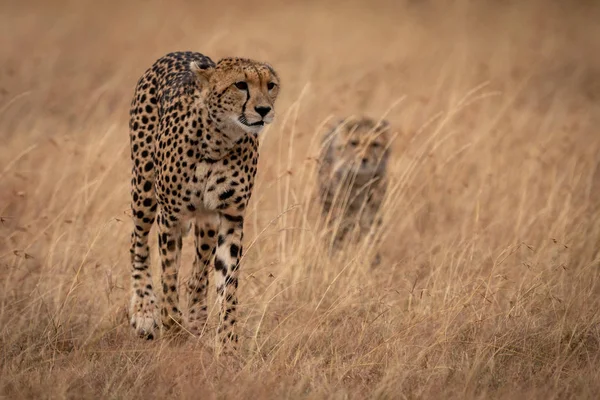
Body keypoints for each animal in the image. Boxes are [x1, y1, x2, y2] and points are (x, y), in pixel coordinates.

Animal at [127, 51, 282, 348]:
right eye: (241, 85)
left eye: (271, 86)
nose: (263, 110)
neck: (219, 138)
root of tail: (178, 52)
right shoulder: (171, 216)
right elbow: (169, 275)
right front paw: (171, 326)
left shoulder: (230, 217)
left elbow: (228, 283)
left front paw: (228, 343)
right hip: (144, 187)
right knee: (137, 241)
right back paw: (145, 312)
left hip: (207, 221)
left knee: (198, 275)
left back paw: (197, 319)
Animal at [316, 116, 392, 266]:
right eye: (354, 143)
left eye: (375, 144)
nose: (364, 159)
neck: (359, 180)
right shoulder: (340, 210)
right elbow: (339, 231)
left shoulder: (372, 211)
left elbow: (371, 234)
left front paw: (372, 258)